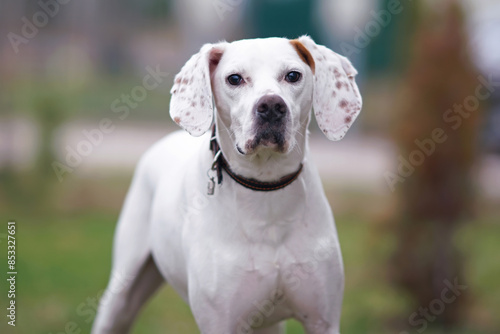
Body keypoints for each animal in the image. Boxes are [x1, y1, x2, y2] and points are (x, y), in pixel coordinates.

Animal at [92, 36, 362, 334]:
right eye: (234, 79)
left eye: (293, 75)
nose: (271, 106)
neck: (266, 191)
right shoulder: (219, 321)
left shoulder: (323, 320)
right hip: (121, 295)